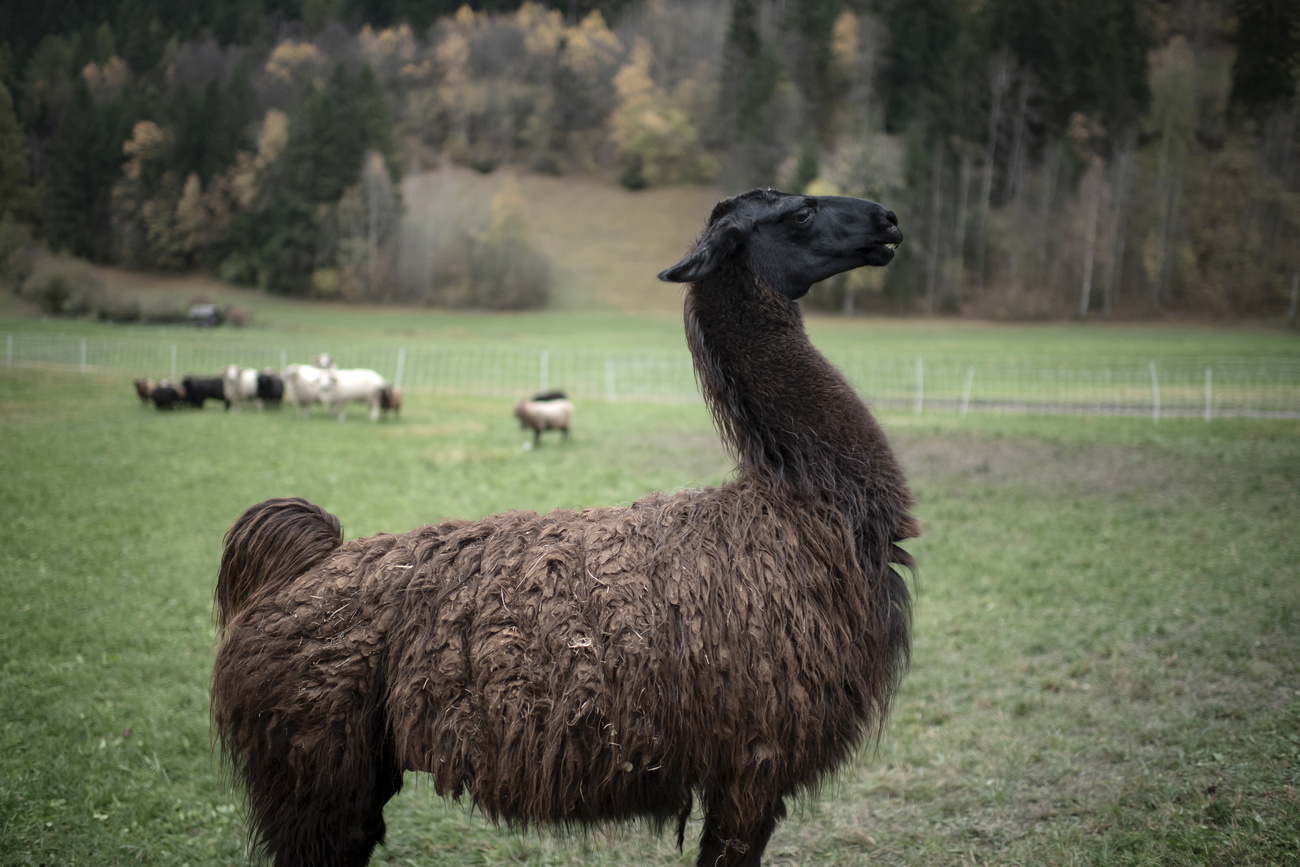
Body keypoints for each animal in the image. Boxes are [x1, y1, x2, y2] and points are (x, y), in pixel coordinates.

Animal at [210, 191, 915, 867]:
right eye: (801, 210)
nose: (887, 219)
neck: (808, 503)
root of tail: (297, 568)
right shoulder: (756, 758)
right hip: (316, 770)